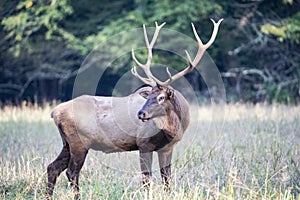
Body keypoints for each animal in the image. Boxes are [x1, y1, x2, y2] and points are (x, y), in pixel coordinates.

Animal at [45, 18, 223, 198]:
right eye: (148, 94)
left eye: (160, 97)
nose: (141, 113)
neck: (174, 127)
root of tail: (55, 112)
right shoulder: (144, 143)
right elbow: (147, 178)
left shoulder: (167, 148)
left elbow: (167, 178)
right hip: (79, 142)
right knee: (71, 172)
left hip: (67, 142)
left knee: (52, 167)